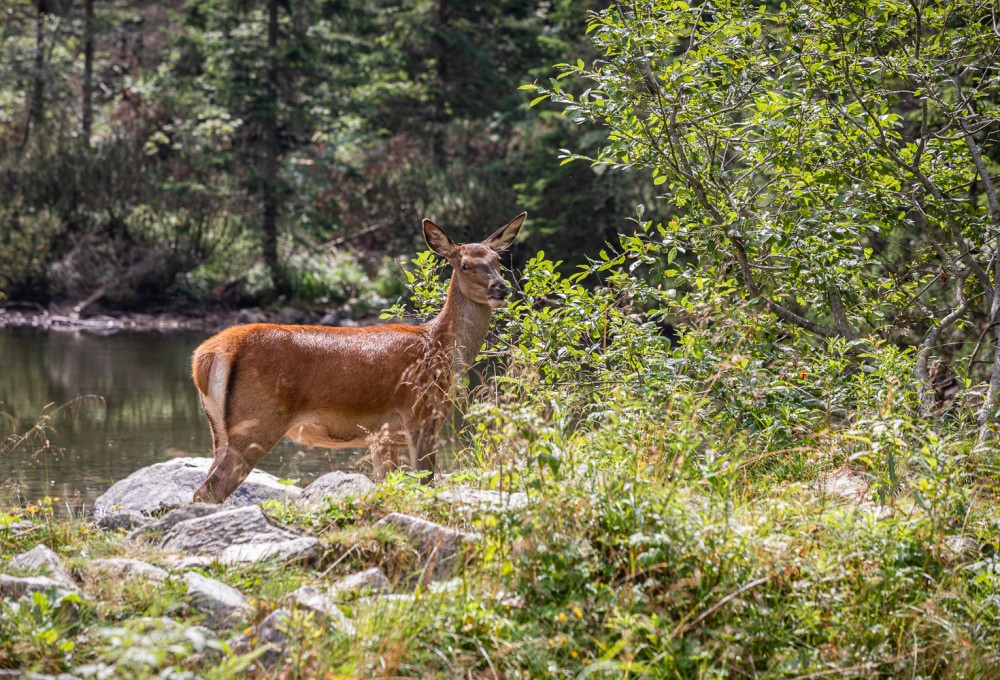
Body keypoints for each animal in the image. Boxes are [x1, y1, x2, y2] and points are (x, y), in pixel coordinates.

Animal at [190, 212, 528, 504]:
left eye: (498, 260)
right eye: (464, 265)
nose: (501, 288)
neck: (440, 349)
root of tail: (204, 356)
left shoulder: (383, 438)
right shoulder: (421, 414)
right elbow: (425, 482)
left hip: (219, 429)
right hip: (257, 419)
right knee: (211, 490)